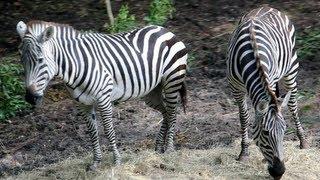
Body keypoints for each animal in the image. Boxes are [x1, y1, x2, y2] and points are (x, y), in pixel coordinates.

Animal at [16, 20, 188, 170]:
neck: (76, 66)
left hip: (172, 81)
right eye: (22, 61)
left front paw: (117, 161)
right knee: (166, 112)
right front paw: (96, 162)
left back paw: (169, 148)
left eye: (40, 60)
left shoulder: (104, 99)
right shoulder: (83, 104)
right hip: (151, 92)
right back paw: (159, 147)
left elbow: (108, 130)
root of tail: (163, 29)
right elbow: (92, 132)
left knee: (173, 112)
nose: (30, 98)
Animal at [226, 5, 308, 179]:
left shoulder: (270, 78)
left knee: (293, 104)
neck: (251, 53)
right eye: (264, 133)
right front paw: (244, 152)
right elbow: (244, 117)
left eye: (284, 131)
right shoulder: (235, 87)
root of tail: (266, 6)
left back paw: (303, 140)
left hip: (291, 69)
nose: (279, 172)